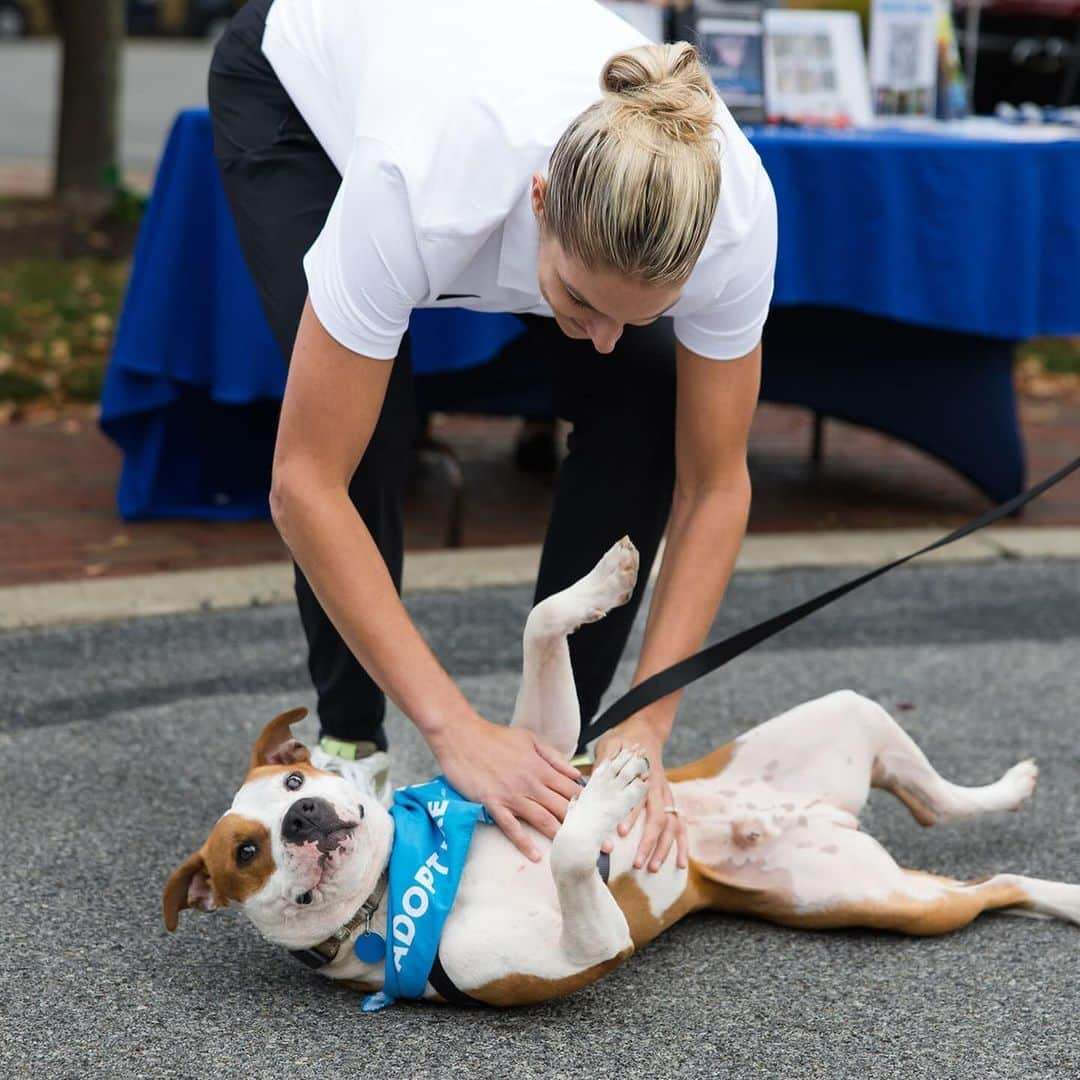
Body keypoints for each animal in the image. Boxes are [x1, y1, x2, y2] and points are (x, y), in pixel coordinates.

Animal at [162, 537, 1080, 1002]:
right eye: (246, 854)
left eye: (292, 784)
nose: (301, 820)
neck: (398, 881)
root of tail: (825, 820)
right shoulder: (588, 942)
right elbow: (574, 850)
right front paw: (607, 793)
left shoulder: (531, 753)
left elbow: (540, 622)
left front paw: (605, 581)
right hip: (881, 902)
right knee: (990, 884)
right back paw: (1064, 892)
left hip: (846, 713)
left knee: (939, 802)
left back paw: (1011, 787)